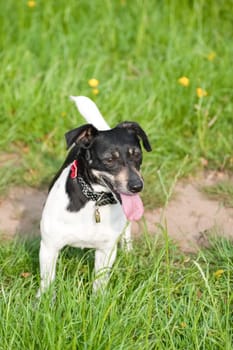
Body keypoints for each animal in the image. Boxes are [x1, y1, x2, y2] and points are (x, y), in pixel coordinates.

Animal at [37, 95, 151, 296]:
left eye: (137, 155)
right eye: (109, 159)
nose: (137, 186)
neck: (94, 200)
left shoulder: (106, 251)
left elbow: (100, 283)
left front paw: (98, 300)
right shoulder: (49, 247)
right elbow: (47, 282)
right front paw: (43, 301)